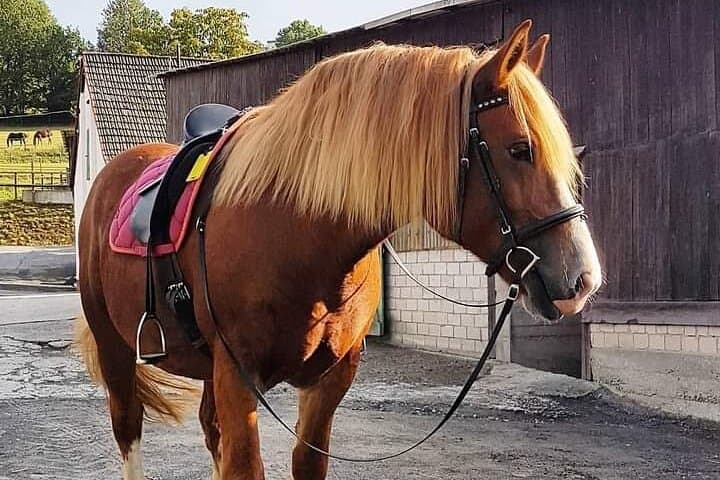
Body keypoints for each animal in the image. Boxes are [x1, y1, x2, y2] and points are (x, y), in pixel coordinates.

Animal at [76, 20, 601, 480]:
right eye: (520, 149)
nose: (583, 280)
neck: (298, 235)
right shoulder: (238, 376)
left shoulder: (327, 381)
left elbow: (303, 463)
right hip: (116, 350)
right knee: (129, 428)